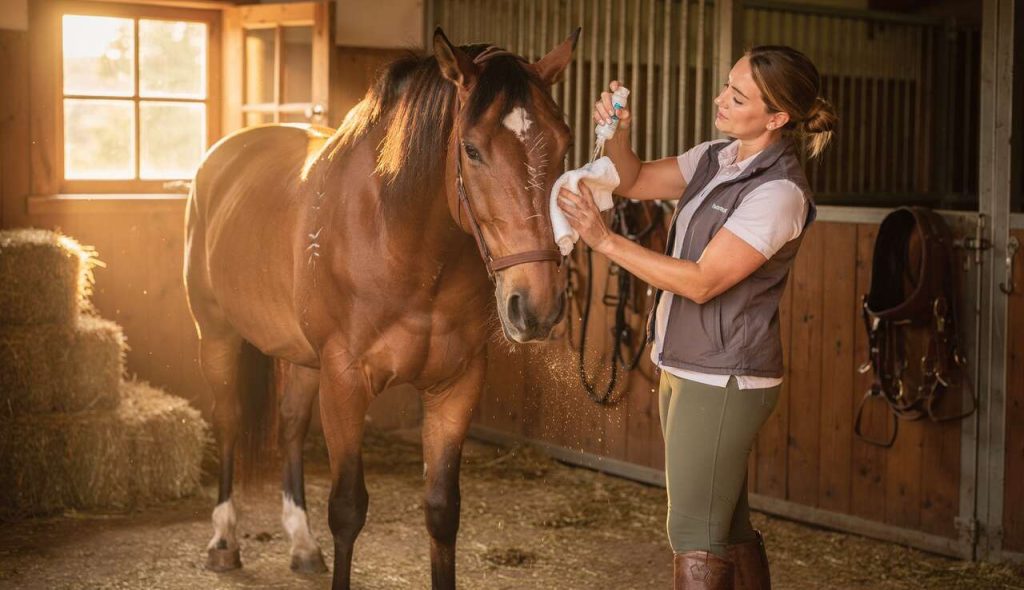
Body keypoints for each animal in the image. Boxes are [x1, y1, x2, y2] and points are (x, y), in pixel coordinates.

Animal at [184, 27, 579, 589]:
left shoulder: (455, 387)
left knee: (290, 427)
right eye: (472, 150)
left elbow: (442, 510)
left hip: (303, 360)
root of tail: (221, 157)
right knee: (229, 420)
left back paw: (301, 544)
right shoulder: (346, 383)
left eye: (564, 144)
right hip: (217, 335)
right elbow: (348, 508)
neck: (402, 240)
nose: (538, 306)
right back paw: (223, 540)